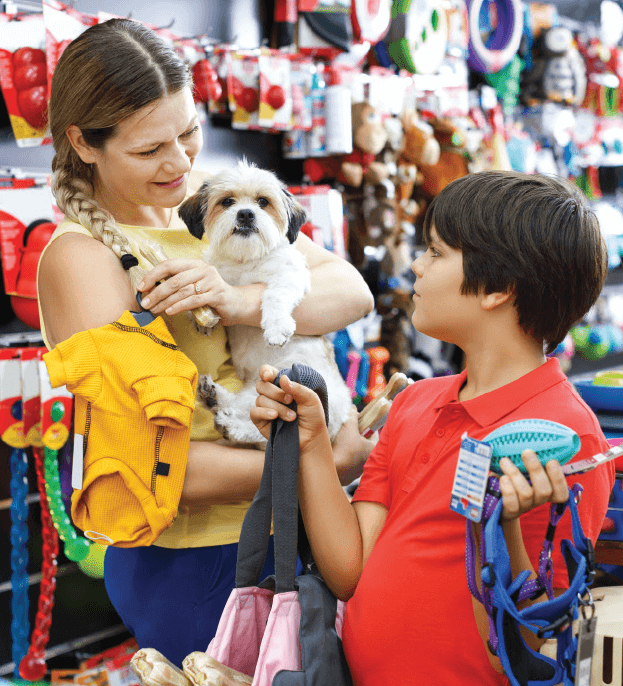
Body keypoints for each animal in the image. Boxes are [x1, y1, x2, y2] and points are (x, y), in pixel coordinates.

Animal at [180, 160, 354, 446]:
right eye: (227, 202)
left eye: (263, 202)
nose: (246, 214)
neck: (245, 261)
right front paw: (203, 320)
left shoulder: (290, 274)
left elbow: (274, 295)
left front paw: (276, 328)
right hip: (257, 390)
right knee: (248, 411)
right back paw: (215, 399)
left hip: (292, 386)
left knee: (266, 425)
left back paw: (234, 427)